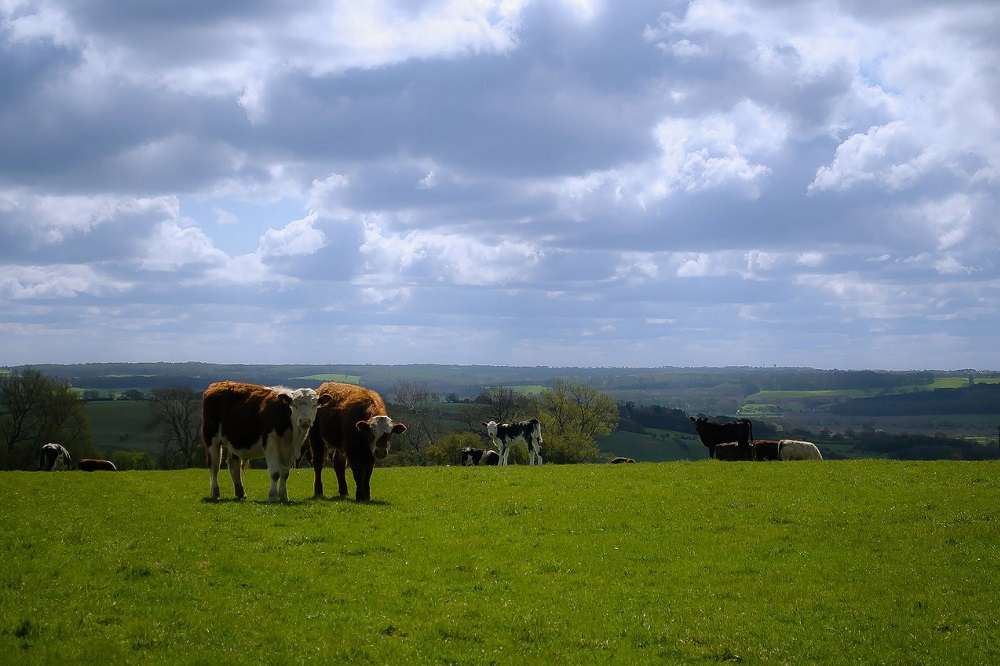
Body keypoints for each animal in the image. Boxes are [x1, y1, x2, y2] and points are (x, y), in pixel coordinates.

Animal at [201, 382, 330, 500]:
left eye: (314, 405)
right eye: (294, 404)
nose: (305, 421)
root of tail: (216, 385)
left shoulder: (290, 450)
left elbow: (285, 474)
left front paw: (283, 496)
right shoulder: (270, 444)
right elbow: (275, 473)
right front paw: (272, 496)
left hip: (234, 441)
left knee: (233, 464)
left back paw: (240, 492)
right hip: (211, 439)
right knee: (214, 466)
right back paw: (215, 492)